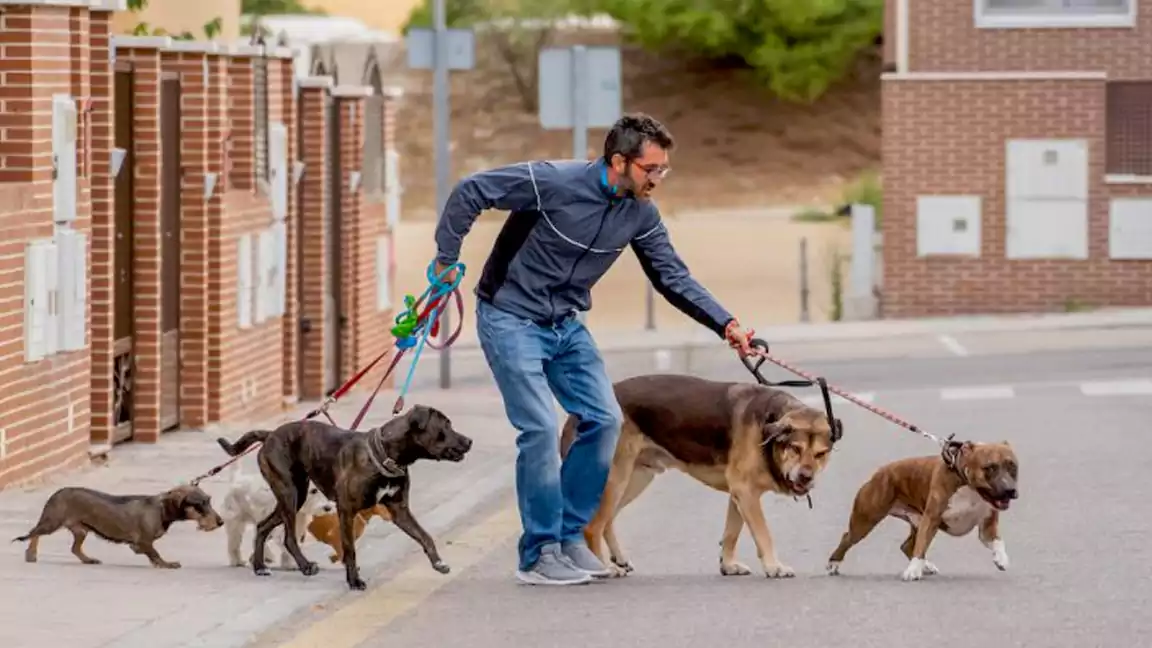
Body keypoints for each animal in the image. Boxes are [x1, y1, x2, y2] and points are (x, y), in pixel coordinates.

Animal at [12, 479, 222, 564]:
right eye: (200, 504)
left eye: (209, 500)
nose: (221, 523)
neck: (161, 509)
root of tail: (57, 493)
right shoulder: (145, 541)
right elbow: (155, 554)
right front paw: (167, 564)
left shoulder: (141, 543)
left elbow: (143, 550)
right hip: (52, 523)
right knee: (34, 533)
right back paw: (31, 553)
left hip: (81, 530)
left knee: (74, 548)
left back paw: (88, 560)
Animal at [214, 403, 470, 590]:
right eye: (445, 426)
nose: (469, 441)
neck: (386, 454)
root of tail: (270, 435)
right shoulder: (346, 510)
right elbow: (350, 549)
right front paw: (354, 580)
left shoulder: (400, 511)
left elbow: (425, 536)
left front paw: (438, 562)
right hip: (290, 493)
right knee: (288, 537)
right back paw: (305, 566)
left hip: (295, 495)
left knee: (262, 526)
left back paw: (259, 566)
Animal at [562, 371, 843, 576]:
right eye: (795, 448)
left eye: (821, 454)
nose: (806, 477)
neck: (768, 426)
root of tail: (578, 415)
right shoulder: (746, 492)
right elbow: (763, 533)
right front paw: (774, 566)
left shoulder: (740, 495)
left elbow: (731, 533)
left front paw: (728, 564)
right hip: (615, 479)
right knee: (592, 526)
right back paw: (604, 567)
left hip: (636, 478)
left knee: (607, 520)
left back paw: (618, 558)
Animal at [824, 438, 1022, 581]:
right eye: (989, 468)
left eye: (1013, 466)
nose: (1010, 490)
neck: (969, 488)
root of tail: (880, 472)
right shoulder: (932, 519)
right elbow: (921, 546)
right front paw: (913, 570)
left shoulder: (987, 526)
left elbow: (998, 541)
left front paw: (1001, 558)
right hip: (865, 520)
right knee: (848, 538)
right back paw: (833, 563)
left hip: (917, 521)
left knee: (907, 545)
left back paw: (926, 566)